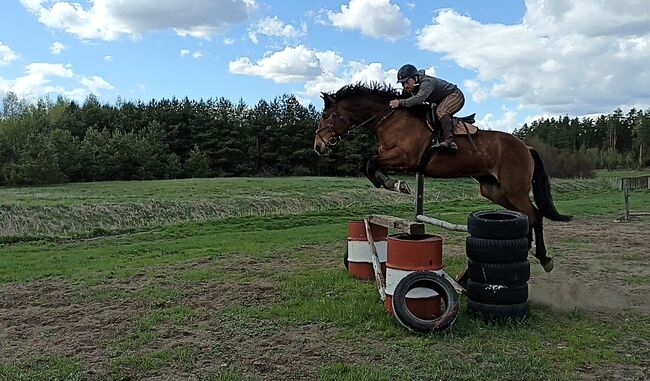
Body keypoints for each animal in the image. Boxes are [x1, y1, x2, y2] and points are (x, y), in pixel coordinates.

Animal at [312, 83, 568, 272]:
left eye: (325, 115)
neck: (390, 120)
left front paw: (396, 184)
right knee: (524, 216)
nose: (318, 147)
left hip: (514, 188)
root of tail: (526, 146)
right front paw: (392, 184)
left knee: (535, 215)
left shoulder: (405, 157)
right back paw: (527, 249)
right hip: (494, 190)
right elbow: (367, 165)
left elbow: (369, 163)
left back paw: (545, 258)